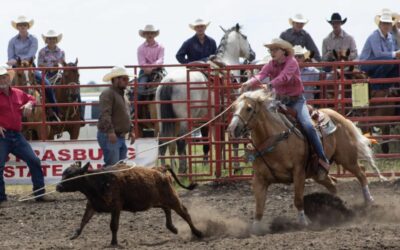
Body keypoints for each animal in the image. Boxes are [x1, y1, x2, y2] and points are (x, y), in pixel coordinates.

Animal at [155, 23, 255, 173]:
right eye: (245, 37)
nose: (253, 54)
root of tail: (169, 81)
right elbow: (233, 141)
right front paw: (236, 167)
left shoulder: (213, 120)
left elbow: (216, 142)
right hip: (184, 120)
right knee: (180, 141)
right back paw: (183, 170)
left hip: (166, 120)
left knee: (163, 142)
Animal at [227, 89, 386, 232]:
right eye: (234, 107)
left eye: (248, 108)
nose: (232, 128)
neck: (276, 139)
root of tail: (341, 117)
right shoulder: (259, 179)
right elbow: (259, 207)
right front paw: (255, 228)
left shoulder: (299, 173)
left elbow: (298, 199)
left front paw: (304, 222)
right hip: (318, 173)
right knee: (333, 184)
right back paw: (337, 206)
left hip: (347, 159)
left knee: (362, 173)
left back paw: (369, 201)